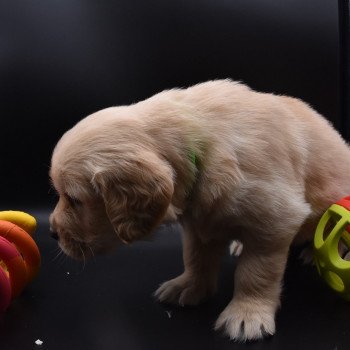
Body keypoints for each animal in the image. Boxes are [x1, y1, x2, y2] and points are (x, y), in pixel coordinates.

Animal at [50, 80, 350, 342]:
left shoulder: (276, 217)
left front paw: (246, 314)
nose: (52, 233)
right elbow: (195, 257)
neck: (201, 142)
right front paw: (188, 286)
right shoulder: (199, 223)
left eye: (74, 199)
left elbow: (256, 271)